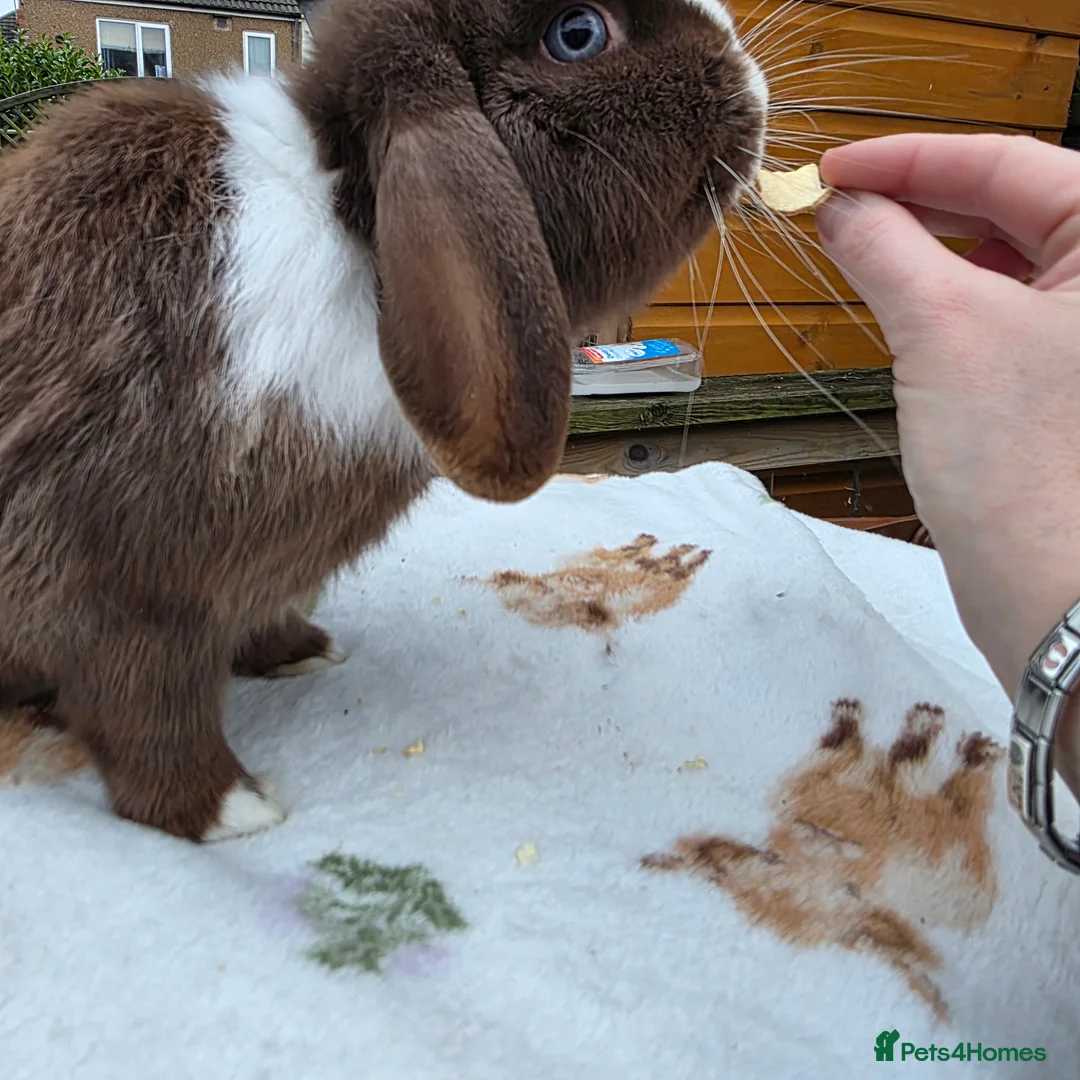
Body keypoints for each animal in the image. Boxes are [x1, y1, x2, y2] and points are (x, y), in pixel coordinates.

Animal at [0, 0, 767, 841]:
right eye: (577, 35)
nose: (751, 73)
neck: (351, 219)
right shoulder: (125, 585)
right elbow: (144, 707)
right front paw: (230, 809)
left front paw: (300, 652)